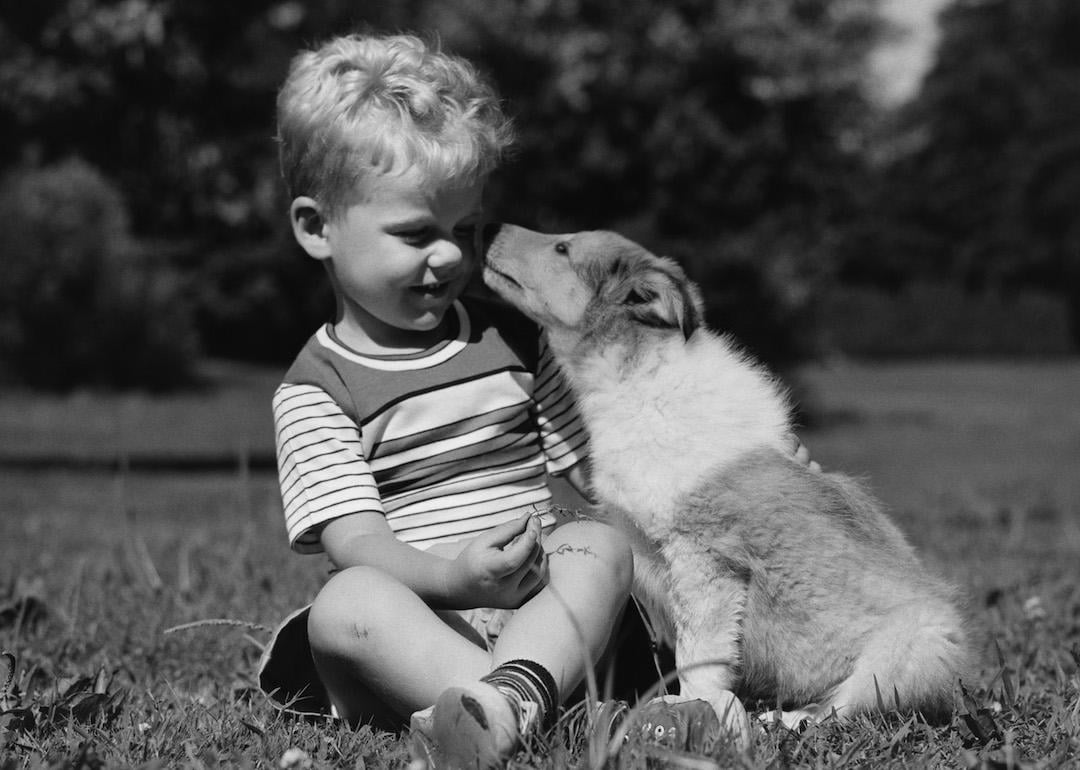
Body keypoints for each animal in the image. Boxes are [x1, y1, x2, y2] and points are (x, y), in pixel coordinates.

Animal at [486, 223, 976, 725]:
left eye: (562, 247)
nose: (492, 227)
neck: (637, 379)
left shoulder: (703, 559)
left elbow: (697, 650)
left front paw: (692, 705)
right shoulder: (641, 541)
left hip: (913, 647)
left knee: (841, 709)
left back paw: (785, 720)